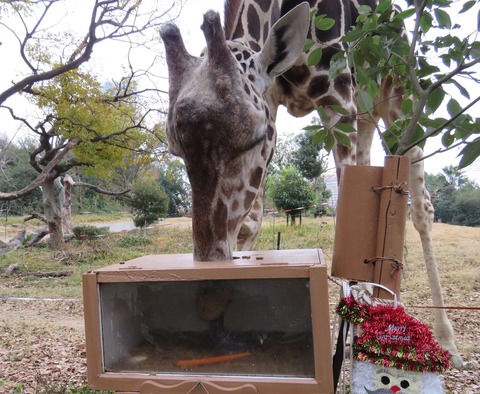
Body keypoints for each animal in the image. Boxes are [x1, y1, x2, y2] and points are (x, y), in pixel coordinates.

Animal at [160, 0, 462, 366]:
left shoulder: (338, 97)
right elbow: (250, 222)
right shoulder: (273, 99)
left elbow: (346, 215)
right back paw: (368, 302)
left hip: (397, 92)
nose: (206, 302)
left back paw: (445, 341)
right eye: (174, 147)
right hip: (368, 110)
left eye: (254, 136)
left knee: (422, 204)